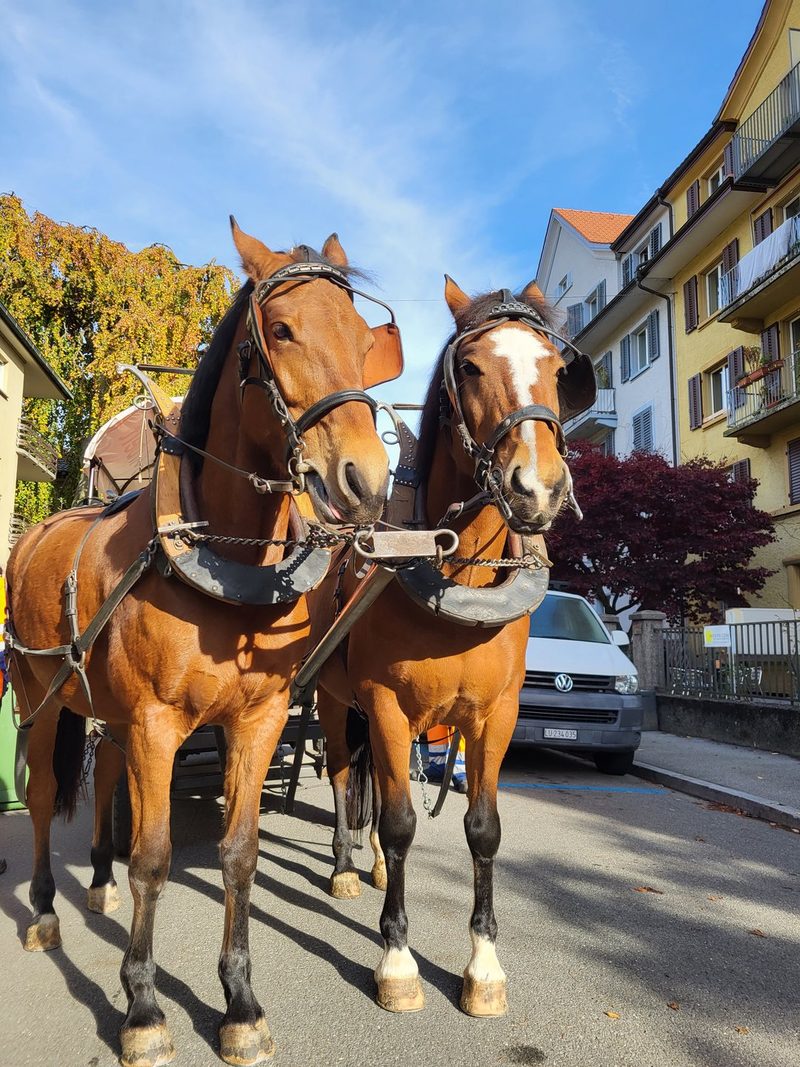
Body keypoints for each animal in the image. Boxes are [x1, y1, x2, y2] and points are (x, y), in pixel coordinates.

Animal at [5, 221, 396, 1067]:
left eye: (362, 339)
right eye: (280, 330)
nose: (366, 480)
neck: (220, 553)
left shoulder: (258, 719)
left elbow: (239, 853)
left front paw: (240, 1002)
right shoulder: (157, 723)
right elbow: (154, 859)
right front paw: (144, 1007)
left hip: (107, 711)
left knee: (105, 779)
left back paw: (97, 879)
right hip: (38, 691)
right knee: (49, 794)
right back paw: (48, 908)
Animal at [312, 275, 595, 1017]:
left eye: (559, 371)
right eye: (468, 367)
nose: (539, 487)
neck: (456, 571)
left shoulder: (495, 714)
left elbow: (482, 827)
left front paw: (484, 963)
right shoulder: (383, 703)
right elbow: (402, 821)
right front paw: (396, 956)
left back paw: (377, 867)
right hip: (332, 700)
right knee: (345, 776)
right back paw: (347, 865)